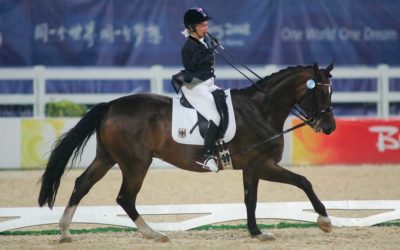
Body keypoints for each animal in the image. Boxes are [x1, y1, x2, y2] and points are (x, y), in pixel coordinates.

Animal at [39, 62, 336, 242]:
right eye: (320, 93)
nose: (330, 127)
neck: (260, 109)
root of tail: (111, 105)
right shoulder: (262, 164)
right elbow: (303, 181)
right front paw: (324, 220)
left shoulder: (252, 168)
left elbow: (250, 200)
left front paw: (256, 232)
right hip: (136, 163)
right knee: (125, 197)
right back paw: (154, 234)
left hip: (107, 157)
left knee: (82, 184)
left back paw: (65, 232)